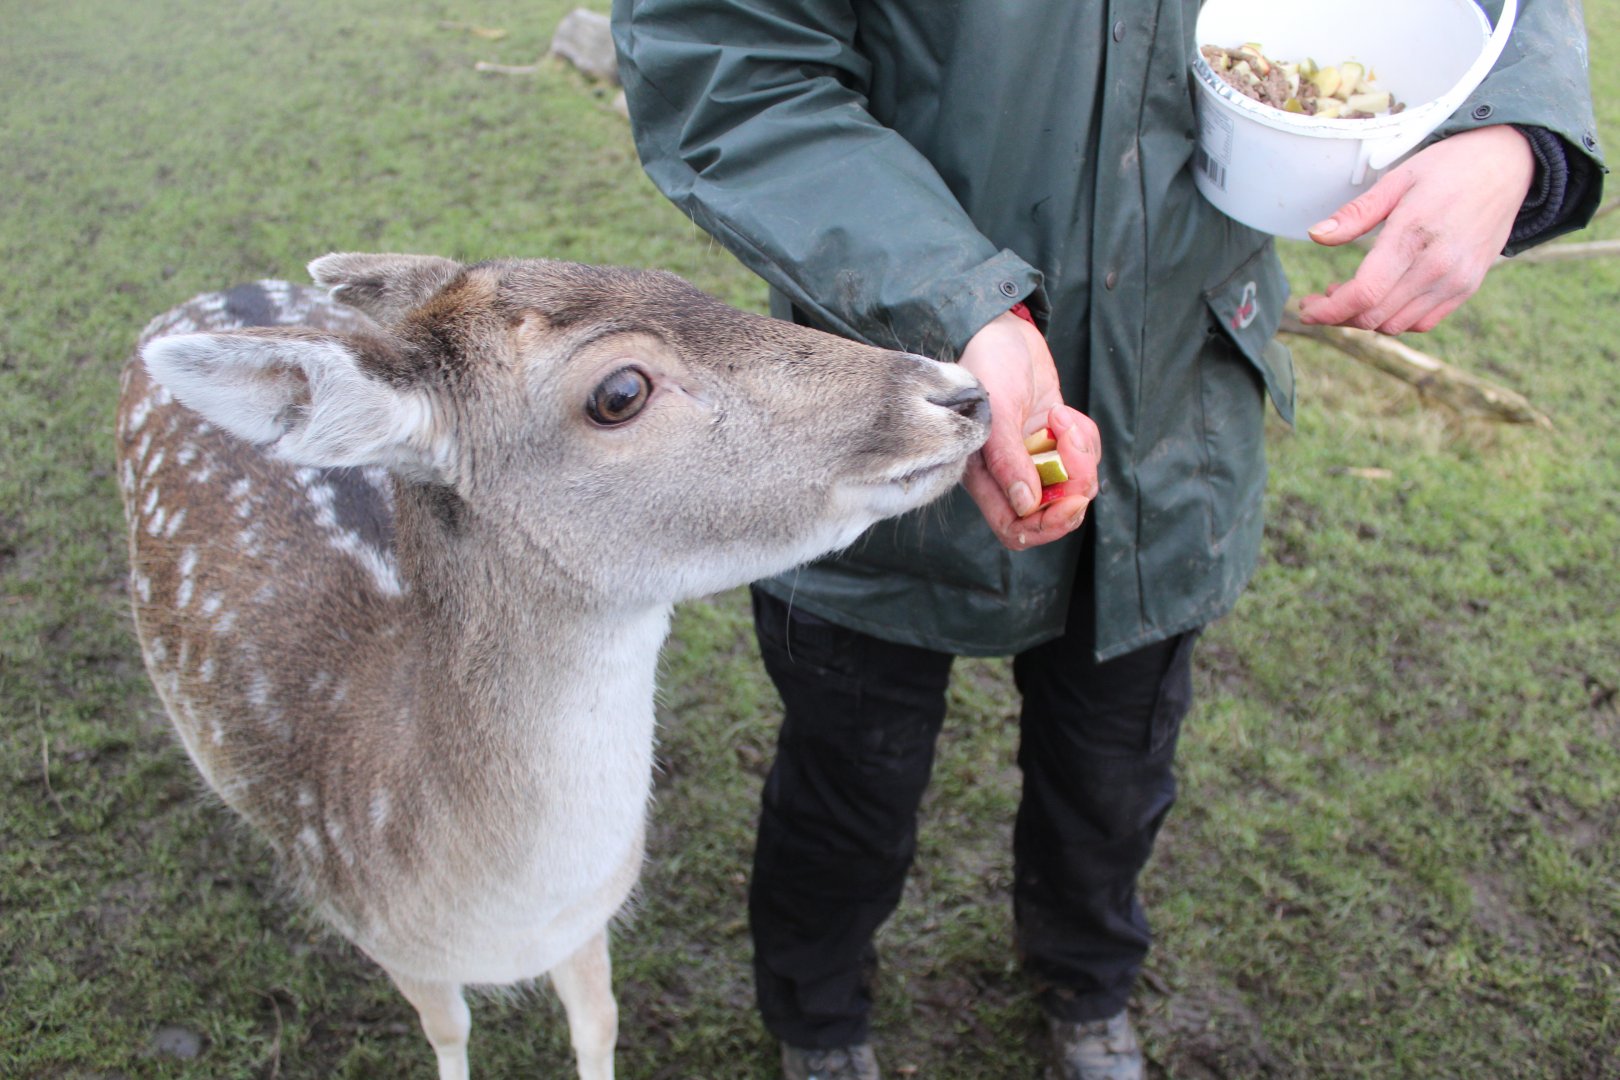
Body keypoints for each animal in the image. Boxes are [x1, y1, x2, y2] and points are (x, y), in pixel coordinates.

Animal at [115, 254, 990, 1079]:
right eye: (620, 391)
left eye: (681, 282)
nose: (961, 394)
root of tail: (216, 295)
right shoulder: (383, 936)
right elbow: (448, 1034)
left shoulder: (588, 918)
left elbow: (598, 1024)